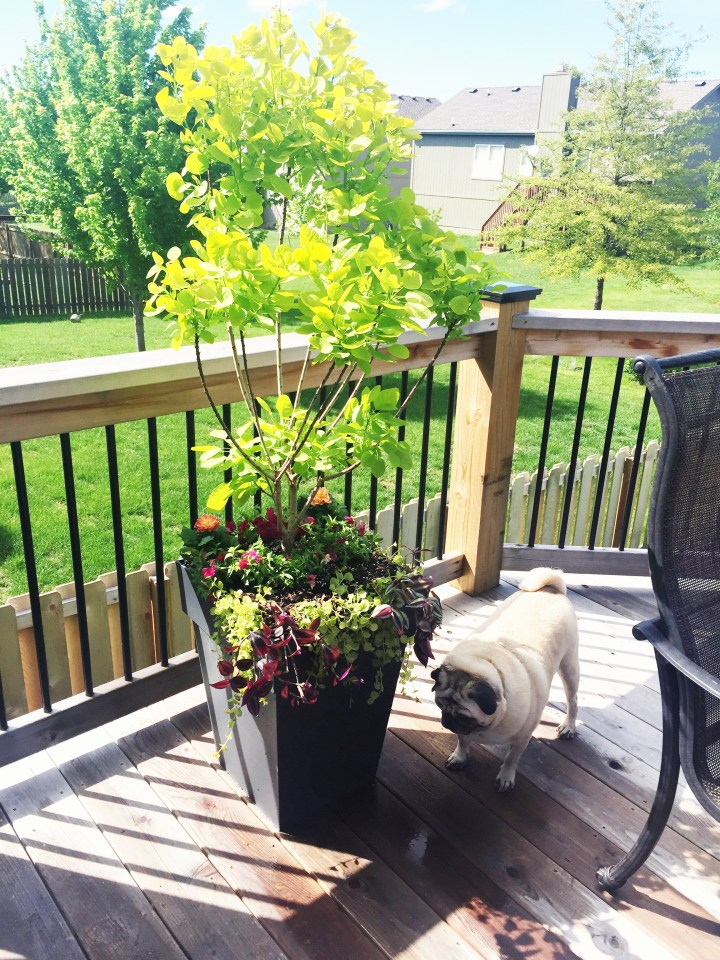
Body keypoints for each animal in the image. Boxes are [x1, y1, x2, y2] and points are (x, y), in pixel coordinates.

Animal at [431, 568, 579, 792]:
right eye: (440, 706)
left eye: (464, 717)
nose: (447, 721)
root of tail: (551, 589)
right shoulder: (464, 732)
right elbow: (463, 741)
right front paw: (459, 756)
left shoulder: (521, 739)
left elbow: (512, 758)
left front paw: (506, 776)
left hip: (569, 667)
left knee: (573, 700)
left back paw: (569, 726)